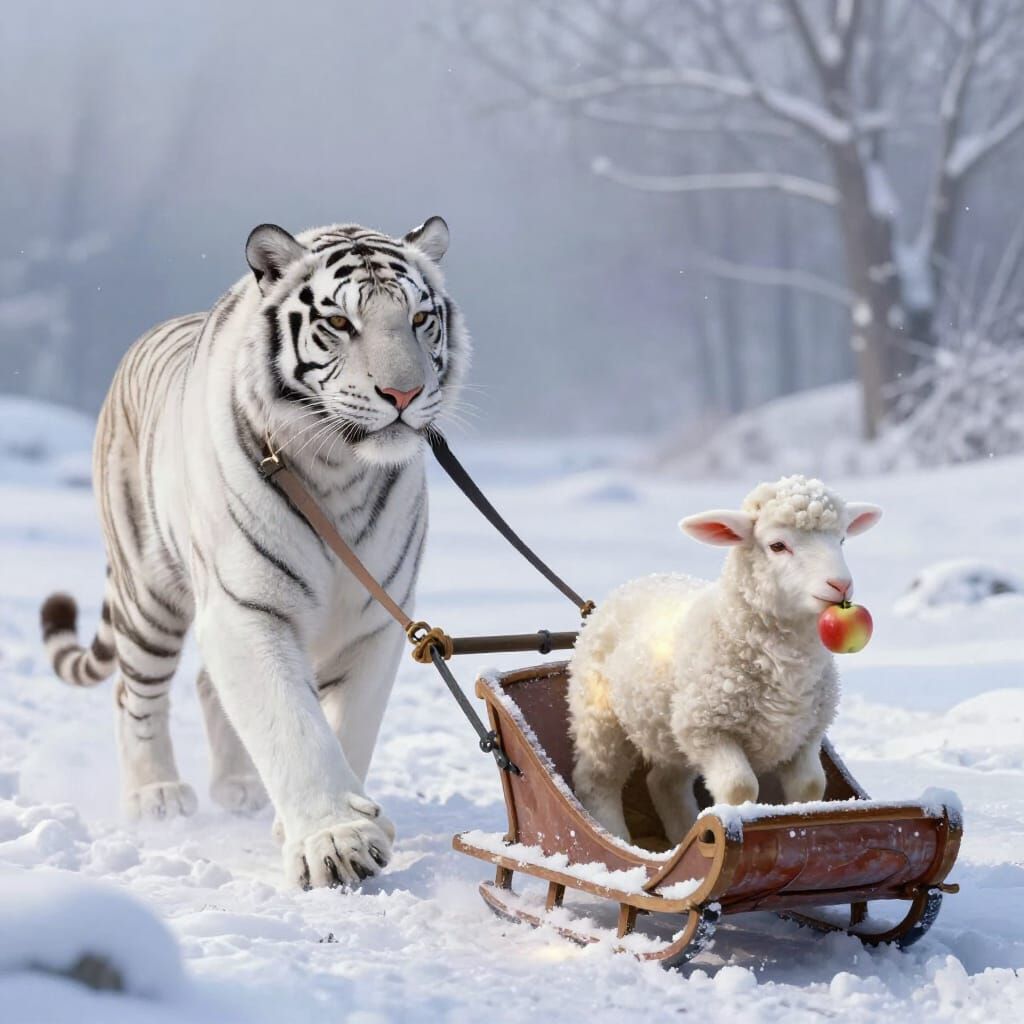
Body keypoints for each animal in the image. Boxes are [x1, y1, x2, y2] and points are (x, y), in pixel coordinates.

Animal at [39, 216, 469, 889]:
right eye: (340, 322)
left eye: (421, 318)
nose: (404, 392)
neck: (341, 468)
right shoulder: (245, 608)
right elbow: (291, 726)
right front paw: (335, 842)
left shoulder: (376, 621)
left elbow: (348, 729)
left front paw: (350, 822)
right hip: (149, 595)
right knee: (135, 694)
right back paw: (156, 796)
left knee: (206, 687)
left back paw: (239, 788)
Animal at [567, 475, 882, 844]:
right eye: (777, 546)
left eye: (842, 539)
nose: (841, 585)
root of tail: (634, 584)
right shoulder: (709, 728)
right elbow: (739, 787)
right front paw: (734, 817)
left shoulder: (806, 734)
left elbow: (811, 787)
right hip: (601, 719)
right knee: (596, 781)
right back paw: (617, 839)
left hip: (669, 731)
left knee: (663, 783)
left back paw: (682, 837)